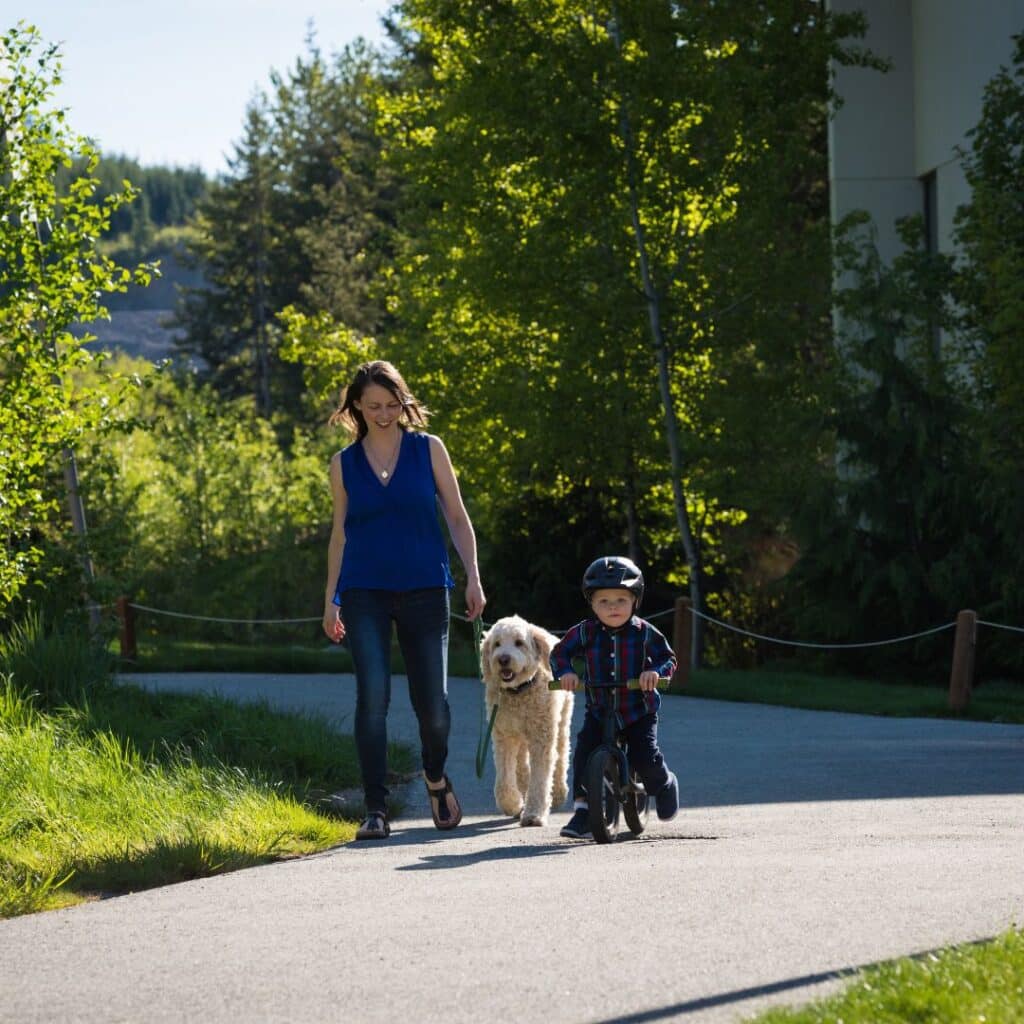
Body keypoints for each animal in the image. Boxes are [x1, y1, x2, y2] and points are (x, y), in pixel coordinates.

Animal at [481, 614, 577, 823]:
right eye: (497, 644)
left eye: (519, 643)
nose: (503, 659)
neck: (519, 690)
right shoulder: (503, 736)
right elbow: (504, 778)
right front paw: (512, 804)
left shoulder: (542, 737)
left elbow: (540, 777)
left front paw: (534, 813)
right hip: (521, 737)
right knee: (522, 766)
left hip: (561, 722)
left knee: (561, 757)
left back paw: (558, 793)